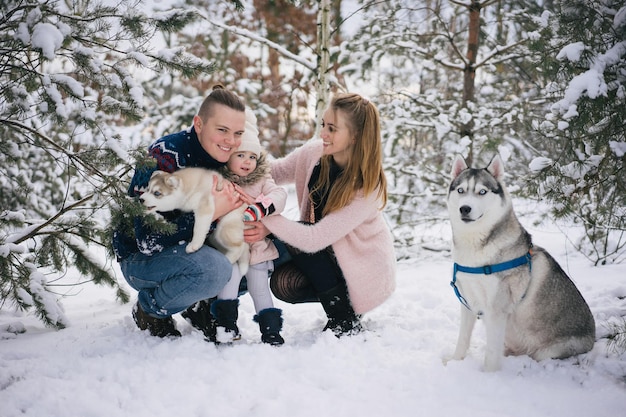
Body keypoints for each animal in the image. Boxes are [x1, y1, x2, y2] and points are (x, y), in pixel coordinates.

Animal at [446, 154, 592, 370]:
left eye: (482, 191)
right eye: (461, 190)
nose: (465, 208)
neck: (475, 250)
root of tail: (594, 338)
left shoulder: (496, 310)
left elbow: (491, 353)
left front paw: (488, 374)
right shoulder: (467, 301)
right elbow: (462, 339)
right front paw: (454, 362)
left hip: (546, 352)